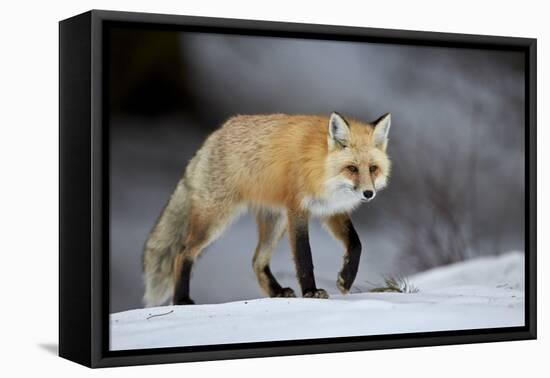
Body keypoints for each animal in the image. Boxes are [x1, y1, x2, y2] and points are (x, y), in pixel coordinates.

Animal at [142, 110, 392, 306]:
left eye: (373, 169)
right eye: (352, 168)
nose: (368, 193)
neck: (321, 167)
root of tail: (214, 135)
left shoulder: (331, 210)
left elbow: (356, 244)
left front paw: (345, 279)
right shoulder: (297, 209)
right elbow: (304, 256)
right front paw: (311, 292)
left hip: (275, 222)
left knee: (257, 261)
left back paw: (277, 292)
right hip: (215, 220)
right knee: (183, 252)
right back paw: (181, 300)